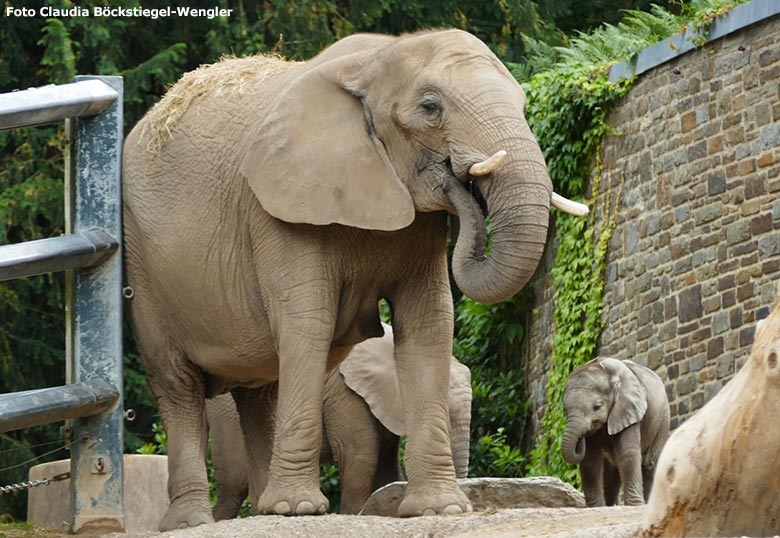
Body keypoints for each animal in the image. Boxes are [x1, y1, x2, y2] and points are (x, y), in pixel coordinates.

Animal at [207, 322, 472, 516]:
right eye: (446, 416)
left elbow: (387, 465)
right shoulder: (344, 392)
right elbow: (359, 453)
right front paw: (356, 514)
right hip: (227, 417)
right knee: (233, 485)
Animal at [560, 356, 672, 502]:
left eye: (597, 407)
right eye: (565, 410)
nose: (581, 437)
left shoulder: (629, 408)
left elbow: (627, 452)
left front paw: (634, 504)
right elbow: (590, 461)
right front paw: (597, 506)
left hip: (663, 418)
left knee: (649, 463)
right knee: (611, 472)